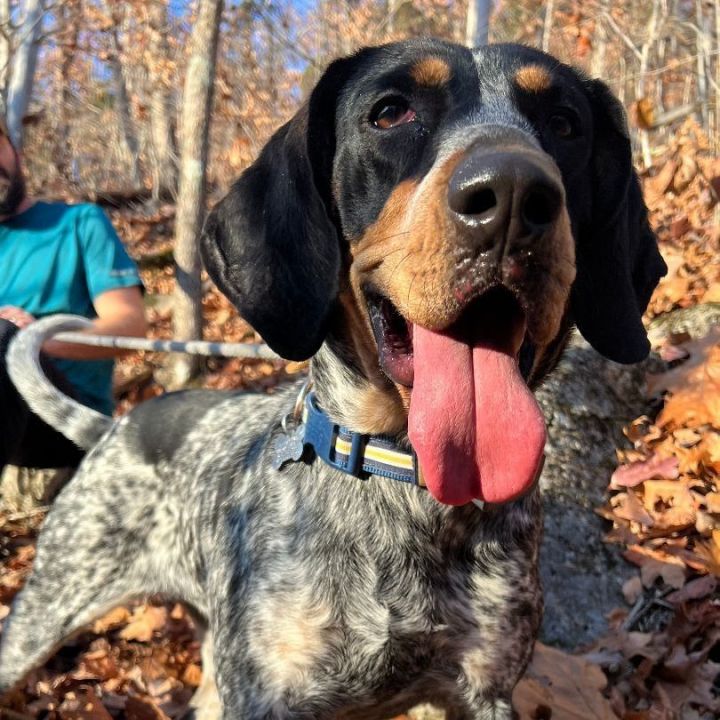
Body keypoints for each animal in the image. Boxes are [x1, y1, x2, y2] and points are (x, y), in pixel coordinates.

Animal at [0, 39, 664, 720]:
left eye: (564, 123)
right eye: (390, 113)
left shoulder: (480, 691)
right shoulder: (268, 698)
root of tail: (117, 425)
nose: (513, 190)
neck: (407, 487)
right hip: (46, 613)